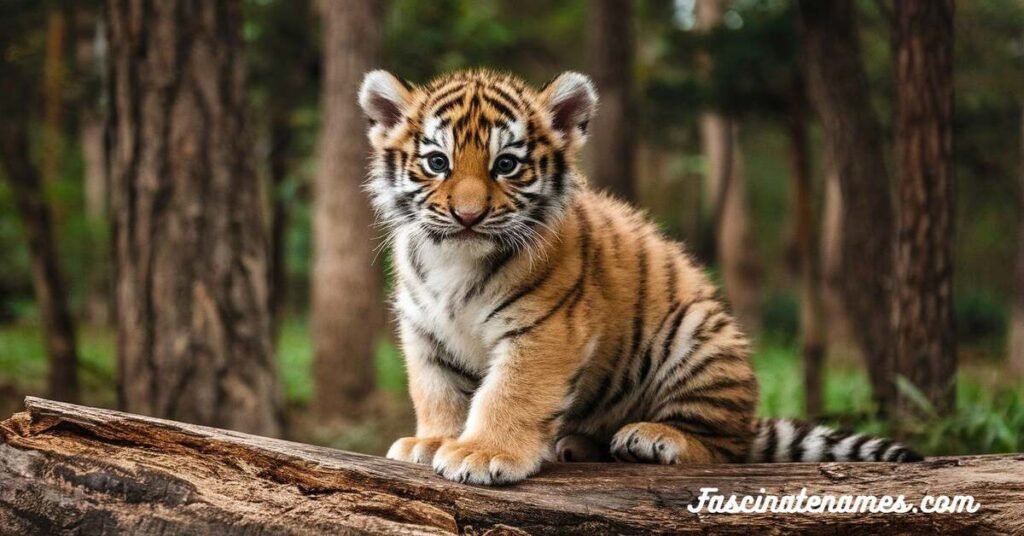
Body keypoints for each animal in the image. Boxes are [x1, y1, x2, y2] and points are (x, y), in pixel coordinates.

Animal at [357, 68, 922, 486]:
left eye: (507, 165)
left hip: (698, 340)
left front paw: (480, 452)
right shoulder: (425, 330)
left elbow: (510, 392)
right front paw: (433, 440)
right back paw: (574, 444)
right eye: (437, 162)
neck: (455, 260)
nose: (468, 215)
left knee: (726, 450)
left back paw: (653, 438)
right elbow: (437, 391)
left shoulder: (544, 328)